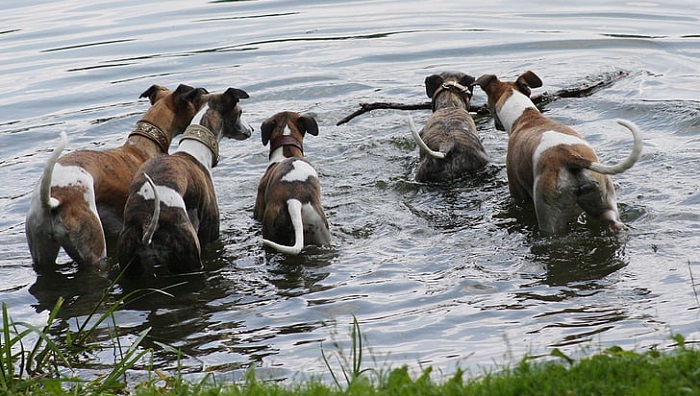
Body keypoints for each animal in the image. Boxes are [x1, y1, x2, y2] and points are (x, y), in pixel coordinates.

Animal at [116, 87, 253, 278]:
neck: (193, 152)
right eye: (240, 112)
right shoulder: (210, 232)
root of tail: (146, 224)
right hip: (190, 257)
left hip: (131, 266)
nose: (252, 129)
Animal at [474, 71, 644, 234]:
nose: (496, 125)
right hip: (603, 200)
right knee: (613, 221)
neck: (525, 116)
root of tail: (569, 156)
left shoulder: (518, 192)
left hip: (549, 215)